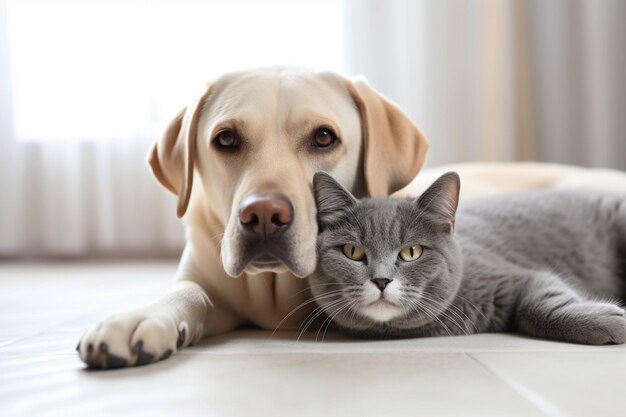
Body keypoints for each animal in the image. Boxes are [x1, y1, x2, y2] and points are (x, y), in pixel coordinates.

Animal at [77, 66, 428, 368]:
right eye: (226, 138)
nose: (264, 214)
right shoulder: (200, 279)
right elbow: (187, 292)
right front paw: (140, 317)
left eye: (324, 137)